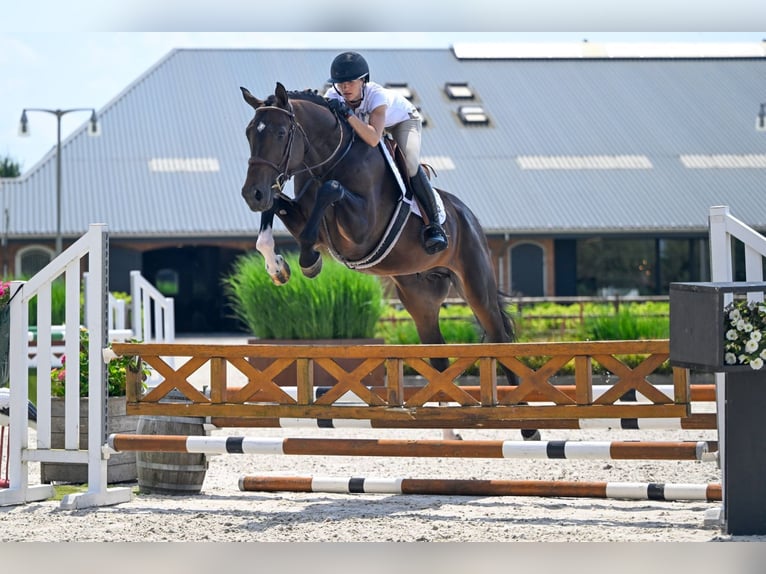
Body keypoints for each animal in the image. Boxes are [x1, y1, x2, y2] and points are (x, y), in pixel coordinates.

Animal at [240, 81, 540, 440]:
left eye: (282, 132)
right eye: (249, 133)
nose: (252, 194)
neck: (329, 158)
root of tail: (467, 216)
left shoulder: (361, 229)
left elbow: (331, 189)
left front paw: (309, 260)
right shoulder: (302, 216)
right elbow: (277, 209)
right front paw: (277, 268)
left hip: (476, 284)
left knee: (499, 339)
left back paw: (527, 426)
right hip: (419, 298)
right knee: (438, 357)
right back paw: (449, 433)